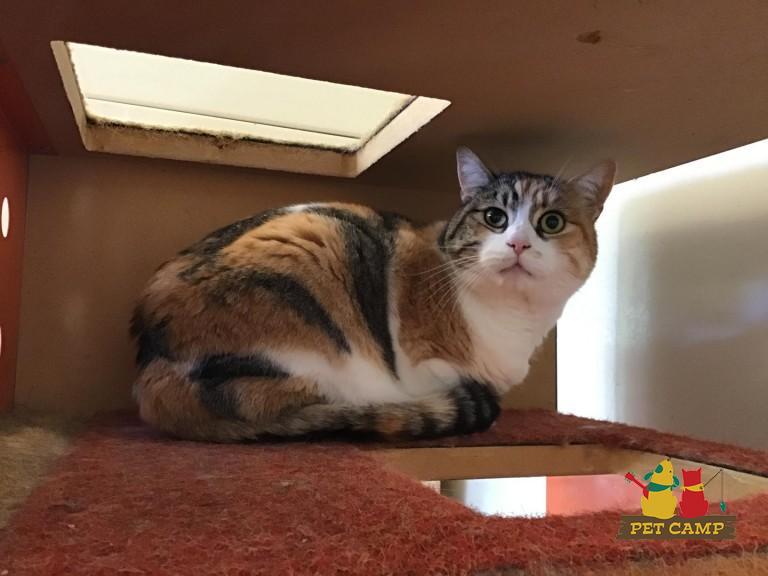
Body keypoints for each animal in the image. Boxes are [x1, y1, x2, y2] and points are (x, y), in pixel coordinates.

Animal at [130, 148, 615, 442]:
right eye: (494, 217)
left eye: (551, 222)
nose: (517, 244)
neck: (514, 318)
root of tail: (149, 368)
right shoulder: (422, 366)